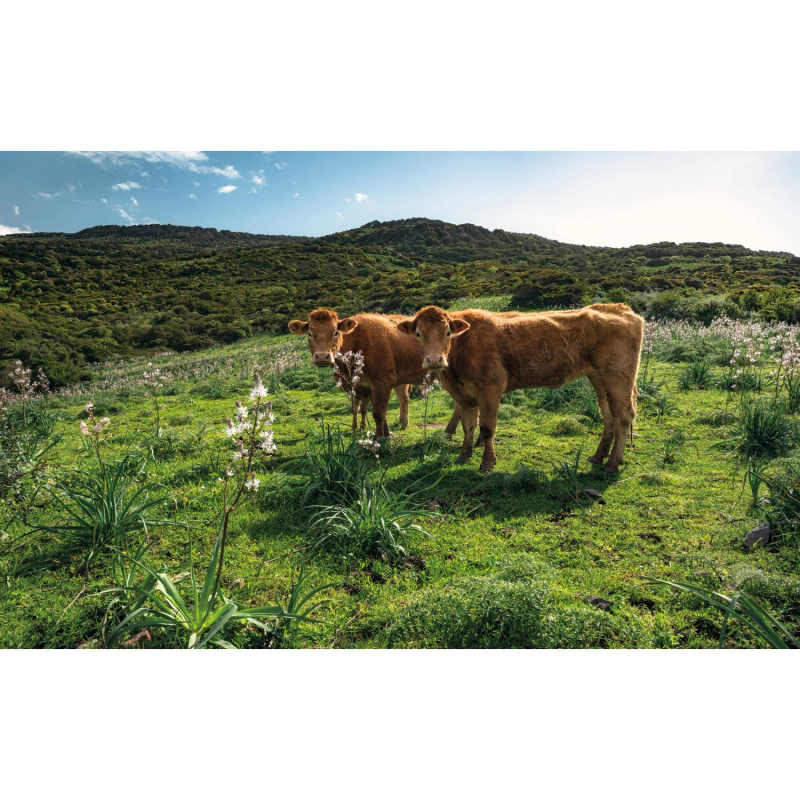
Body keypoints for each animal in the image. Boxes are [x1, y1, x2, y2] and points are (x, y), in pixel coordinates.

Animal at [288, 309, 430, 437]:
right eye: (310, 333)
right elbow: (368, 410)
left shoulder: (381, 383)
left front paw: (379, 438)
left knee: (404, 400)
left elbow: (378, 413)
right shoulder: (363, 387)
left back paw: (404, 424)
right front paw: (384, 432)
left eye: (336, 332)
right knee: (403, 399)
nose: (322, 357)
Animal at [397, 303, 644, 473]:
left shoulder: (491, 389)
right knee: (609, 414)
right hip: (600, 378)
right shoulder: (463, 395)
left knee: (623, 415)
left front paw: (487, 462)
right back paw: (599, 456)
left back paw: (612, 463)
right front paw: (463, 456)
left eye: (448, 332)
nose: (434, 360)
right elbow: (468, 427)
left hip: (617, 376)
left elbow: (486, 429)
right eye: (418, 334)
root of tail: (620, 308)